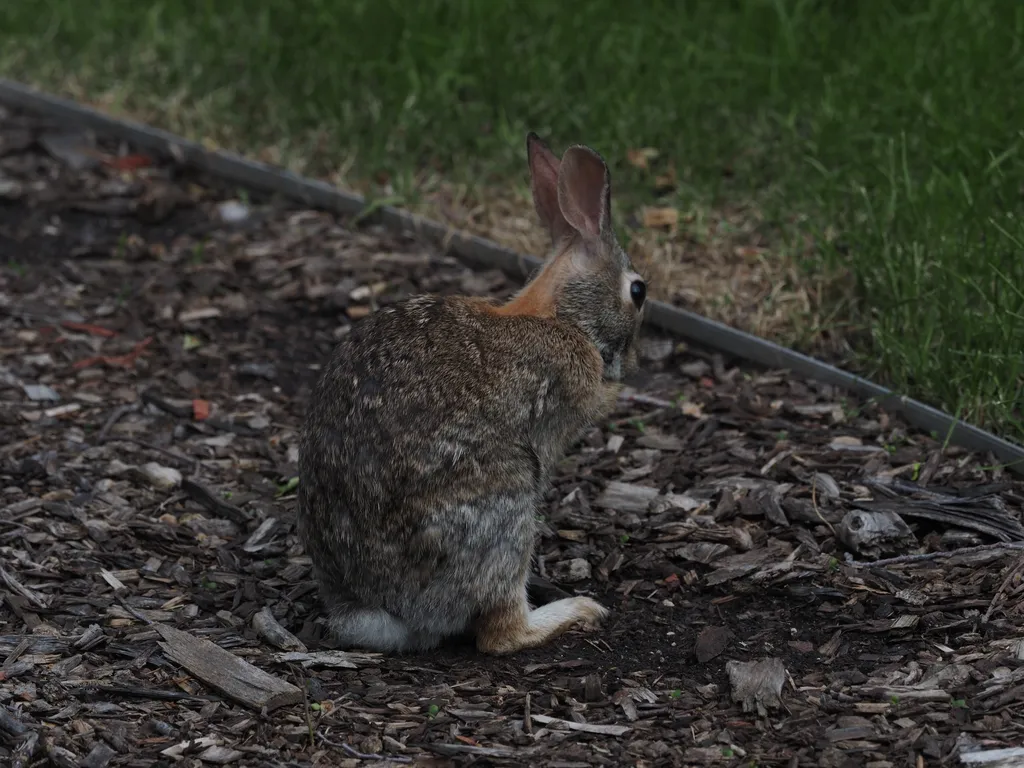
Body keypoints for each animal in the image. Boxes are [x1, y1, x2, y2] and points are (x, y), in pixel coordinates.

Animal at [296, 132, 649, 655]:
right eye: (638, 291)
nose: (632, 363)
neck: (561, 315)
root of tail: (371, 611)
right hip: (505, 503)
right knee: (500, 631)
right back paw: (574, 611)